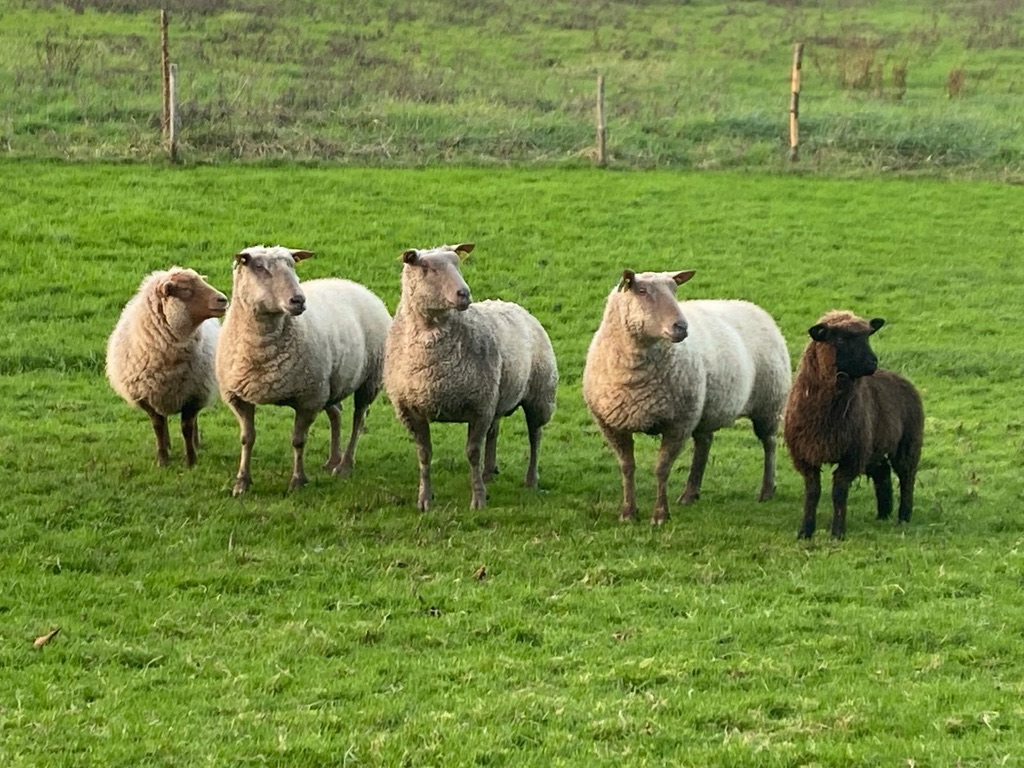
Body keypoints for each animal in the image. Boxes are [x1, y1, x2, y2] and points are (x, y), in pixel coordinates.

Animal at [105, 267, 228, 467]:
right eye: (185, 289)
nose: (223, 299)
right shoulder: (146, 397)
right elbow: (158, 426)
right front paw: (162, 460)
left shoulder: (193, 396)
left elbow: (187, 427)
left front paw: (191, 460)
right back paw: (168, 445)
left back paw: (196, 443)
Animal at [215, 245, 391, 496]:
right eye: (258, 267)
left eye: (292, 265)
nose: (298, 300)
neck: (261, 354)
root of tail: (355, 285)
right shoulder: (238, 397)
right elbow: (247, 439)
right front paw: (242, 482)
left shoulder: (308, 399)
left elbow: (298, 441)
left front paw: (297, 481)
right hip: (330, 383)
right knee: (336, 412)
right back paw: (332, 459)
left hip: (368, 380)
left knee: (359, 418)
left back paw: (344, 465)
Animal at [383, 243, 558, 511]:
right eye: (426, 267)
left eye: (458, 263)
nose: (464, 293)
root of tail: (511, 304)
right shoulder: (411, 410)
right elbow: (424, 455)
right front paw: (424, 499)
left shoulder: (478, 406)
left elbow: (472, 453)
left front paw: (478, 499)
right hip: (497, 396)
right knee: (494, 431)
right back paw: (489, 471)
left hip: (540, 395)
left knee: (535, 436)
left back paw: (531, 479)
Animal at [582, 269, 791, 525]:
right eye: (641, 291)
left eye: (675, 290)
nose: (681, 326)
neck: (634, 376)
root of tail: (753, 307)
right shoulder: (612, 424)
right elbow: (627, 467)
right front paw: (628, 512)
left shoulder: (678, 423)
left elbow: (662, 468)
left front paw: (660, 515)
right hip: (705, 407)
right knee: (704, 443)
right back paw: (690, 493)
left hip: (768, 403)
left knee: (769, 443)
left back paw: (767, 490)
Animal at [783, 310, 924, 540]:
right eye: (840, 339)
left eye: (868, 336)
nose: (872, 362)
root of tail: (901, 378)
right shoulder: (806, 454)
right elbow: (812, 492)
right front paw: (805, 531)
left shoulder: (851, 454)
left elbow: (839, 491)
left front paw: (837, 533)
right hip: (873, 446)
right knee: (882, 472)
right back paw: (883, 513)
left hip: (908, 442)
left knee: (906, 476)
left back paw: (903, 516)